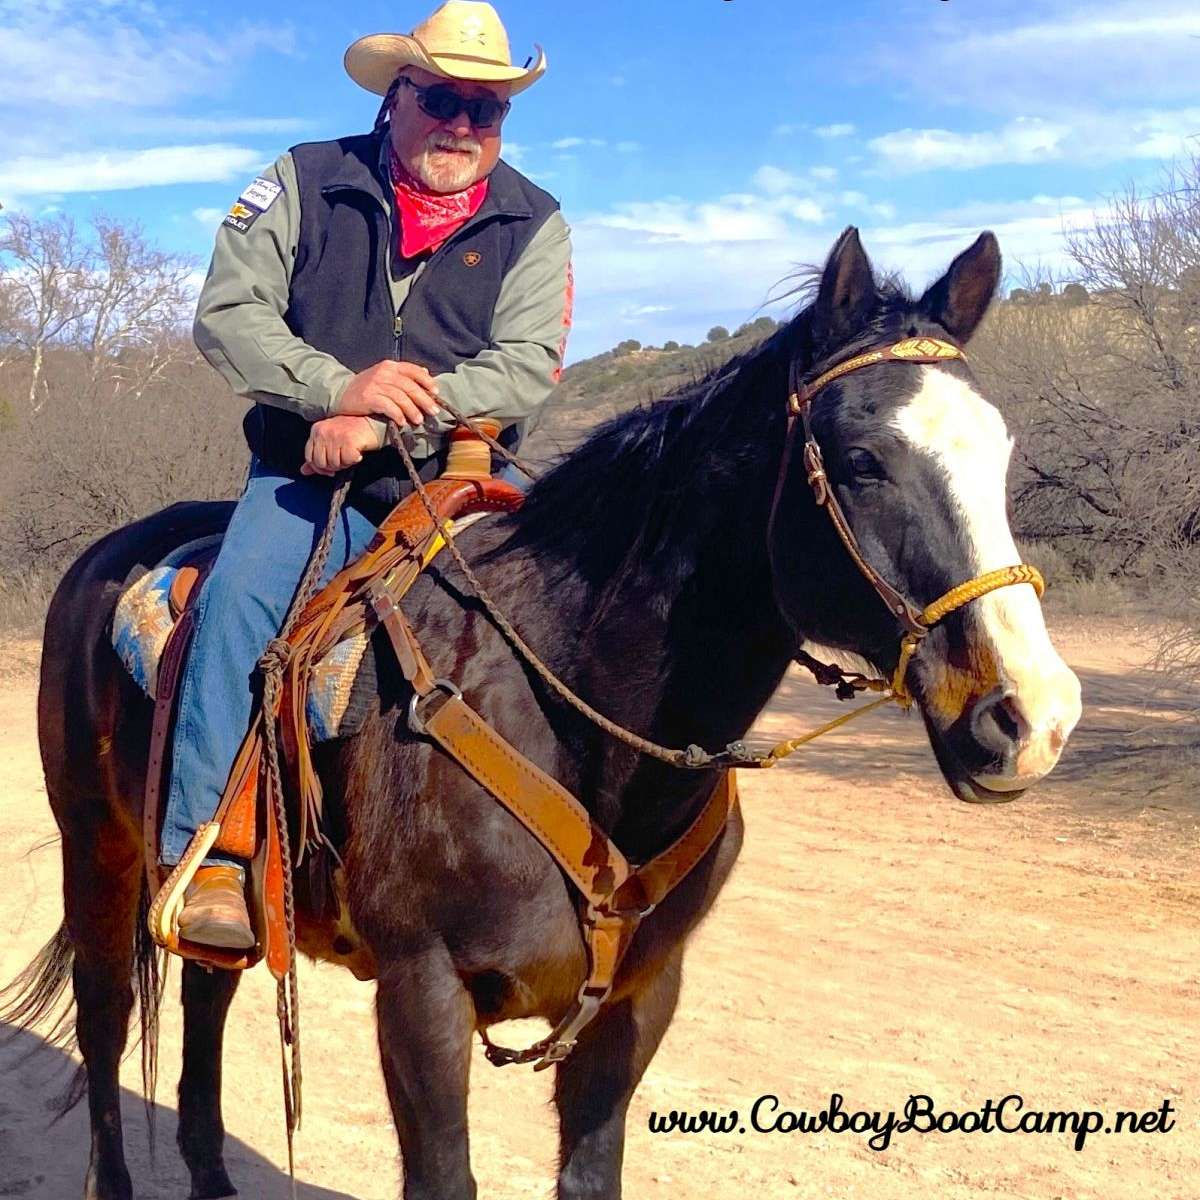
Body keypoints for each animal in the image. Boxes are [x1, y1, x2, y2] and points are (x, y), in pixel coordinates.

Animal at [4, 226, 1084, 1200]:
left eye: (1002, 453)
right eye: (861, 460)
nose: (1031, 717)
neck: (572, 716)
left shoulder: (640, 1000)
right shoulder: (422, 993)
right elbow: (443, 1177)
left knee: (206, 995)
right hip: (97, 851)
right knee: (106, 1020)